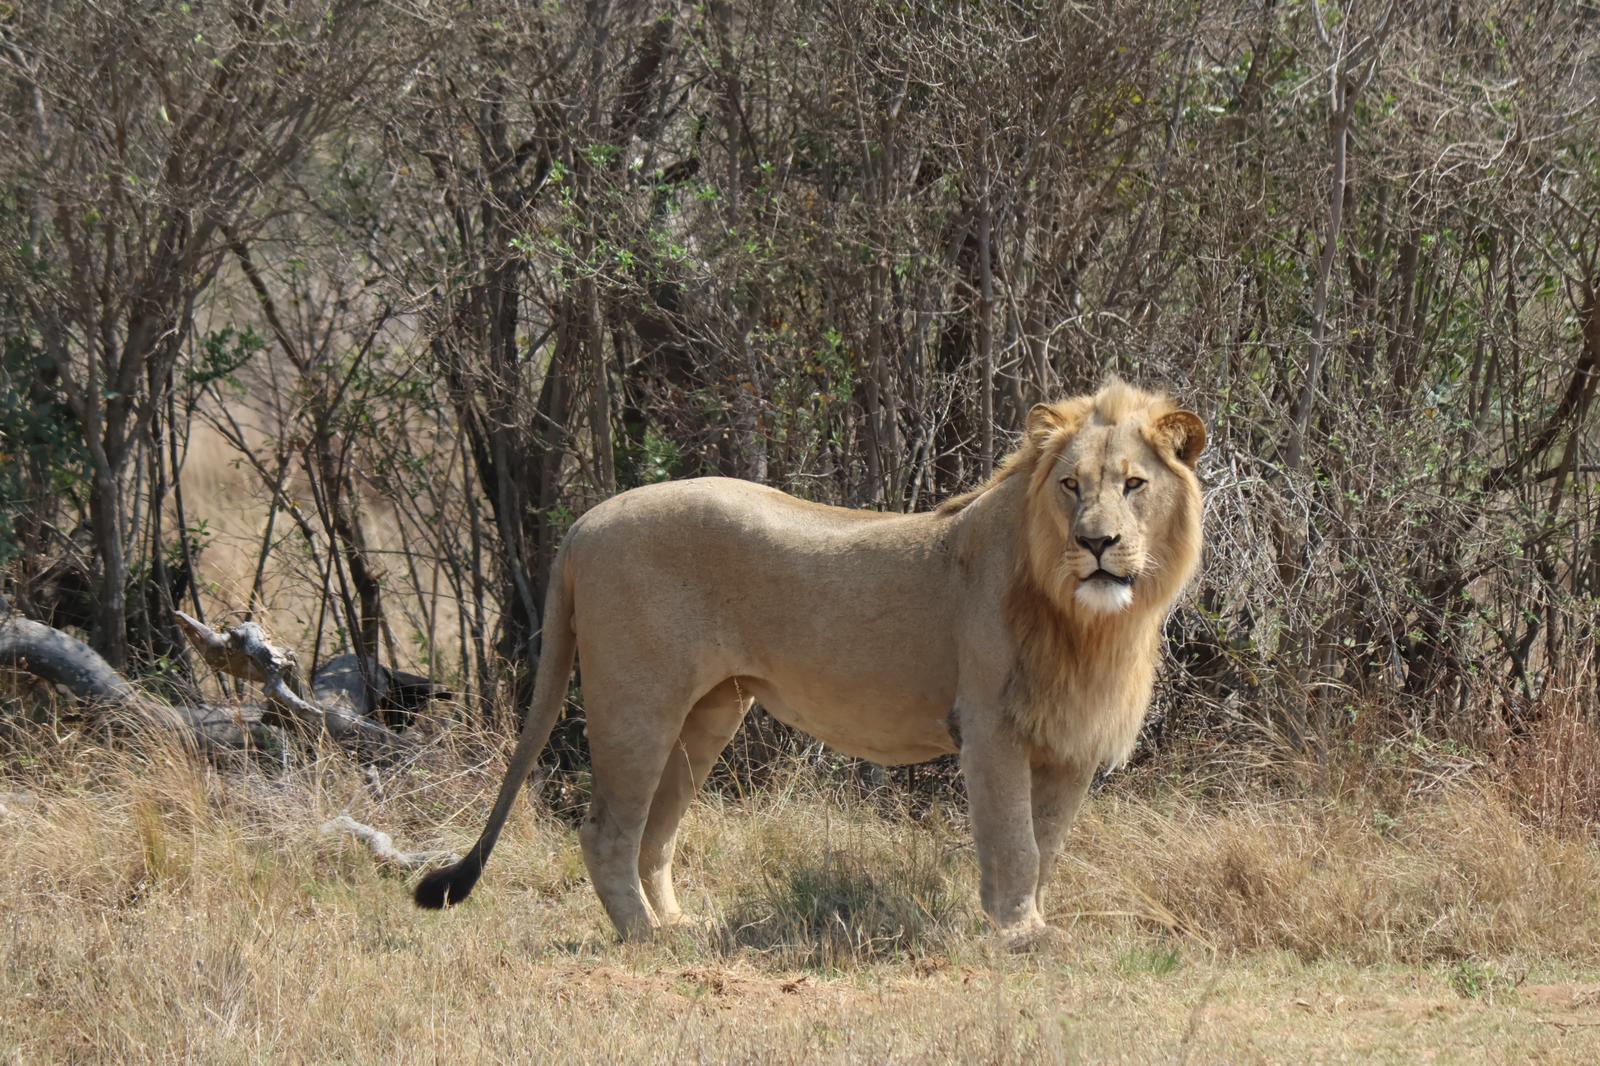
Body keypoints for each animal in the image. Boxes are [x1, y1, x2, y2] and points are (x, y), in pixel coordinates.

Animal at [412, 377, 1203, 941]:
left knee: (655, 835)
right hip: (636, 704)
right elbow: (1015, 842)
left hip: (709, 714)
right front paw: (1018, 938)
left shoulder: (1070, 740)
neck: (1089, 623)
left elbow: (1048, 843)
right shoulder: (990, 727)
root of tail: (583, 524)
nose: (1097, 543)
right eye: (1071, 485)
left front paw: (1032, 923)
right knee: (606, 830)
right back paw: (646, 939)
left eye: (1133, 484)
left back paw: (680, 925)